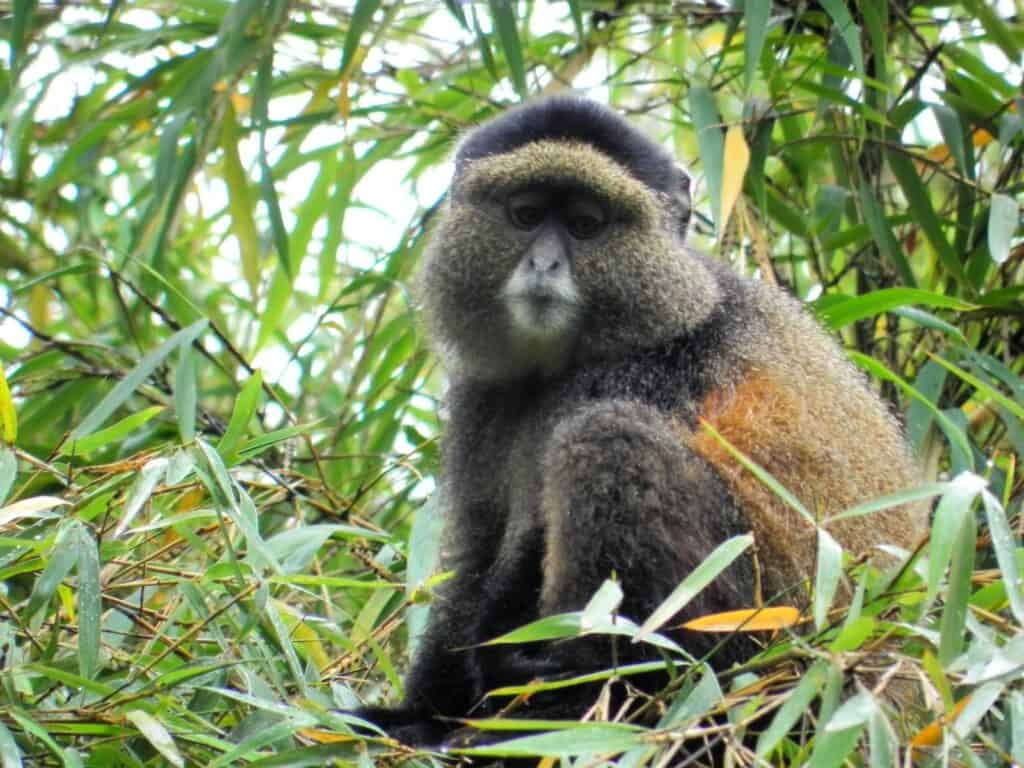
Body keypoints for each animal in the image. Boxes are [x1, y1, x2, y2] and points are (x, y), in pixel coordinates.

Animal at [350, 95, 926, 749]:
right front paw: (418, 717)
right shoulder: (483, 399)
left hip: (760, 649)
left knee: (609, 443)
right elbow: (476, 552)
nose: (544, 263)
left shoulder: (639, 374)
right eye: (526, 215)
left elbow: (531, 535)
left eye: (585, 225)